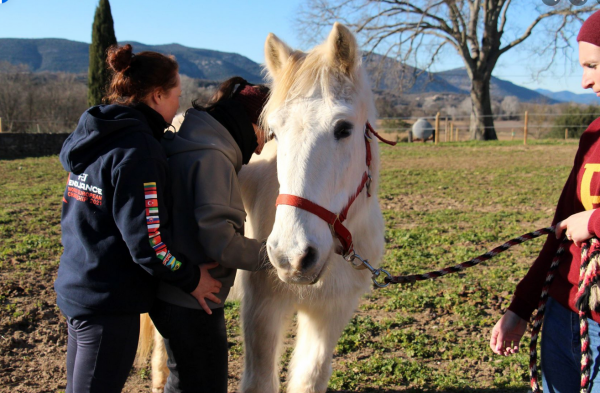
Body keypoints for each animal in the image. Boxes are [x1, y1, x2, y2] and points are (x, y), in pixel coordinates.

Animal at [138, 22, 386, 392]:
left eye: (344, 129)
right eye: (276, 132)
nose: (291, 256)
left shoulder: (329, 315)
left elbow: (310, 379)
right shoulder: (262, 310)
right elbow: (259, 381)